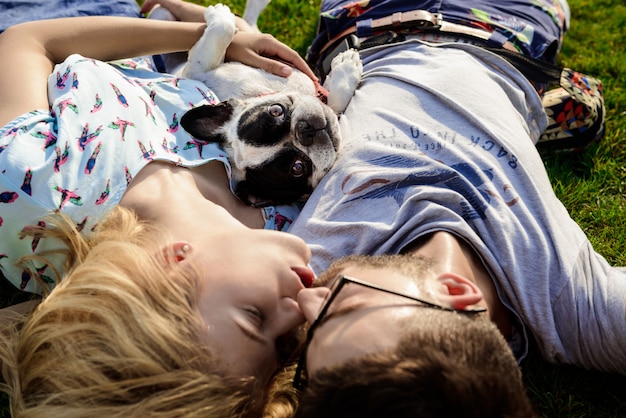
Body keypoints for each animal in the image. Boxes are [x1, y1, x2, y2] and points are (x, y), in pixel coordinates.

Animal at [172, 3, 360, 206]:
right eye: (297, 168)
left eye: (276, 110)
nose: (305, 130)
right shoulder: (197, 71)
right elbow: (222, 31)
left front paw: (345, 69)